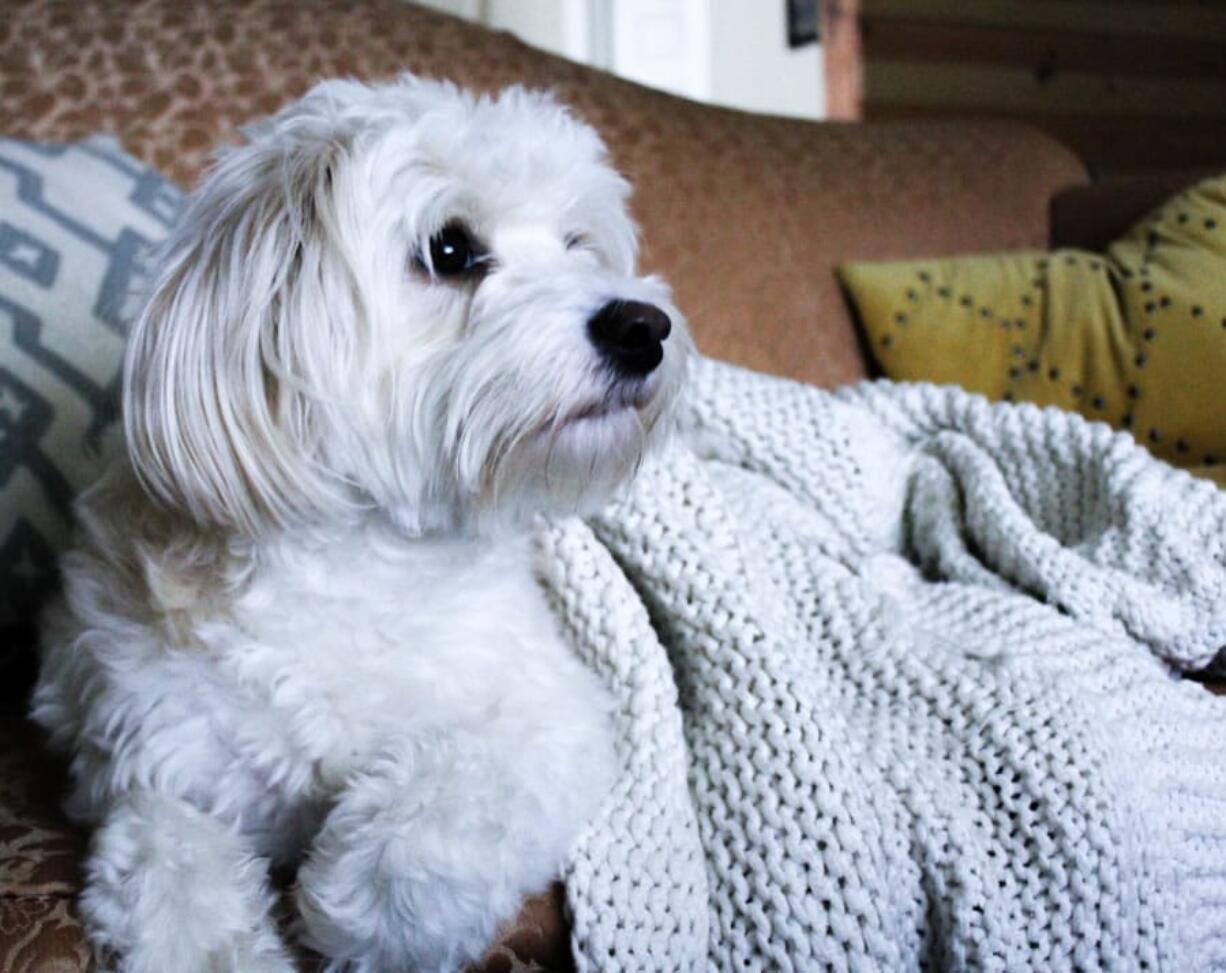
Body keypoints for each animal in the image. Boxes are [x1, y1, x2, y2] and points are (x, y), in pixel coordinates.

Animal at [33, 77, 691, 970]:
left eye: (576, 244)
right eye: (449, 250)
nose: (641, 326)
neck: (360, 564)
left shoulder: (555, 716)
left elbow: (449, 804)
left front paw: (364, 909)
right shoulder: (146, 766)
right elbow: (170, 872)